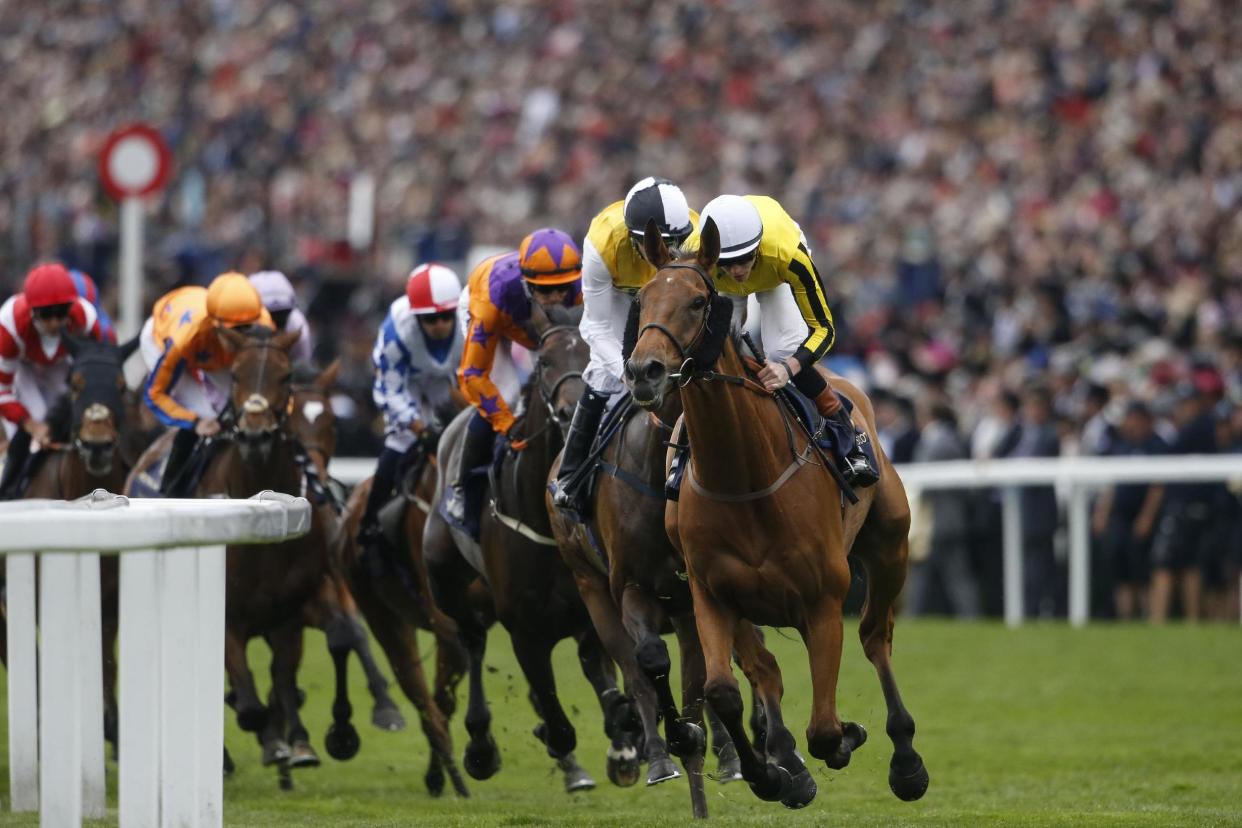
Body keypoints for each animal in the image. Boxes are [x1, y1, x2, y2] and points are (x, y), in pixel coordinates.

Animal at [427, 320, 625, 794]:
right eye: (544, 361)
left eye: (594, 354)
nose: (573, 412)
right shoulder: (524, 632)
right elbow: (560, 725)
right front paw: (547, 735)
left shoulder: (592, 613)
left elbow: (606, 686)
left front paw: (626, 747)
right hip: (446, 579)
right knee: (471, 639)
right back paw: (481, 744)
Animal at [625, 219, 929, 809]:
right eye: (644, 297)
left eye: (698, 301)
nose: (644, 370)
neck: (745, 480)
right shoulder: (712, 594)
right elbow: (725, 689)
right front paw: (772, 774)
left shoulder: (824, 600)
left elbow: (826, 728)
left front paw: (848, 739)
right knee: (764, 671)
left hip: (889, 547)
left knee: (875, 636)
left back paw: (905, 759)